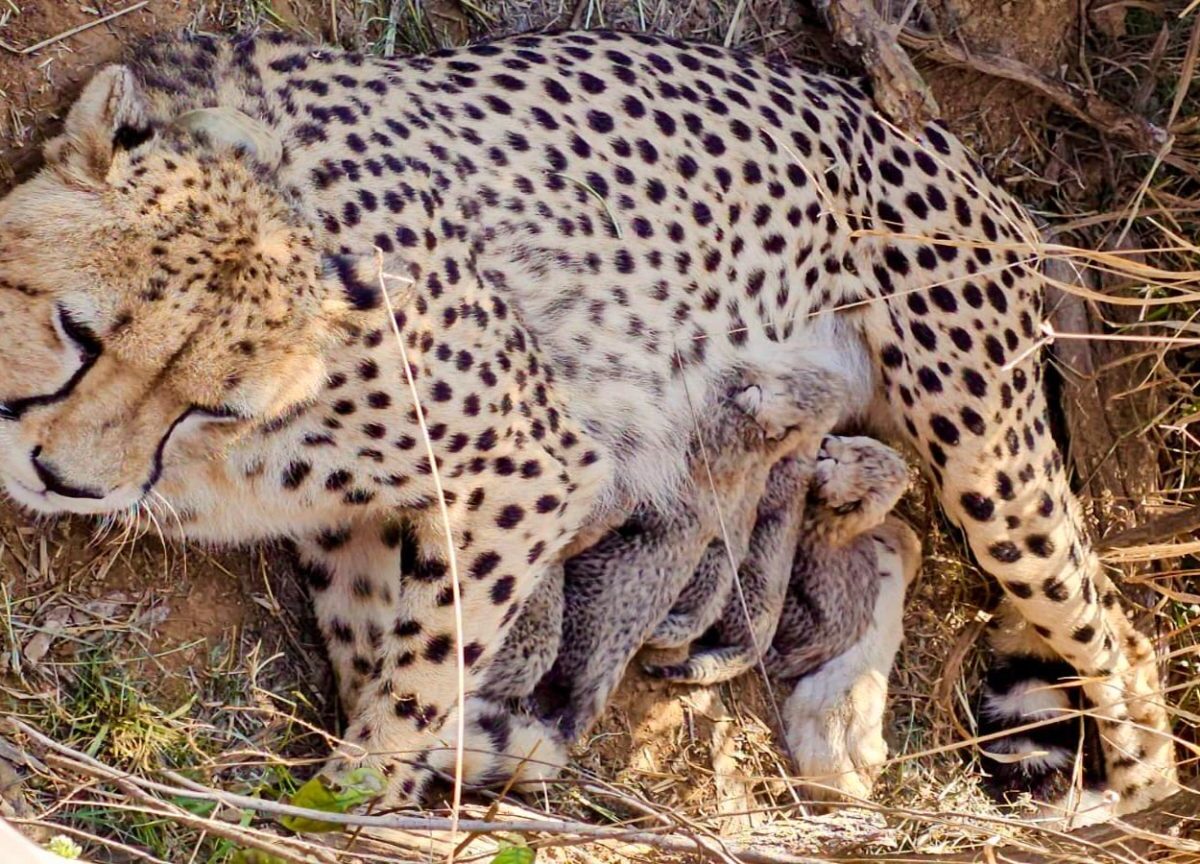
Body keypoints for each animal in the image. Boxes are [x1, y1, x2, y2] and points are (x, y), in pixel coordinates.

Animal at [0, 28, 1175, 814]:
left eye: (213, 402)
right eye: (76, 331)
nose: (68, 480)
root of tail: (935, 138)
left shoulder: (531, 464)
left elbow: (422, 667)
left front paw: (351, 803)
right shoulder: (357, 516)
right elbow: (374, 643)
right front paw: (453, 752)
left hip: (987, 450)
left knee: (1121, 643)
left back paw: (1115, 796)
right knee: (893, 532)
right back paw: (836, 722)